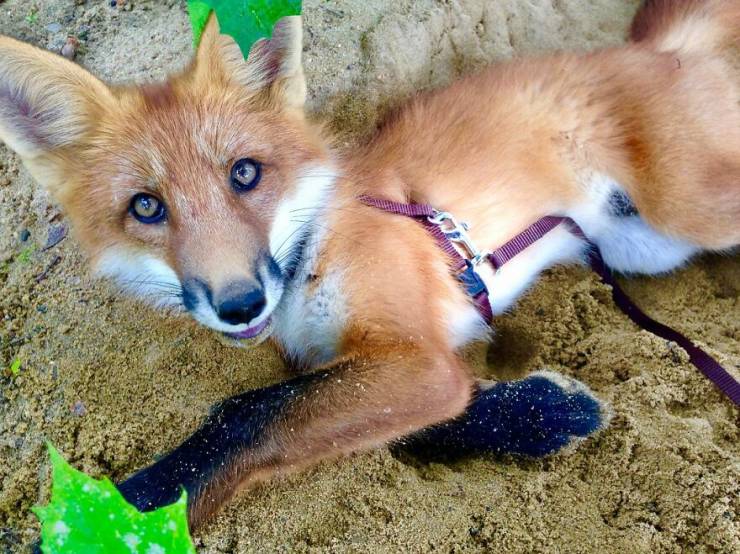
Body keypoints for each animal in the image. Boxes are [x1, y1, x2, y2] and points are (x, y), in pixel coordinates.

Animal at [0, 1, 736, 532]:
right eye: (146, 207)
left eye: (245, 173)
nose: (240, 304)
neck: (313, 248)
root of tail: (646, 50)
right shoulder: (404, 367)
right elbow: (436, 419)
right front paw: (548, 412)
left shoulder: (415, 359)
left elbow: (248, 413)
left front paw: (124, 508)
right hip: (639, 245)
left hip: (693, 212)